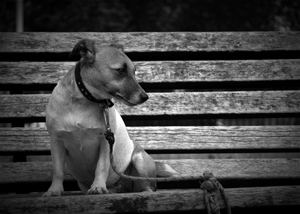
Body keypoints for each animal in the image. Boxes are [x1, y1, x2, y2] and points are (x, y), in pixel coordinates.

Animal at [43, 38, 177, 196]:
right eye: (121, 70)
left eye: (134, 71)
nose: (145, 97)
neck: (84, 99)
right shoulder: (56, 141)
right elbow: (58, 171)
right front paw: (54, 190)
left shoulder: (105, 142)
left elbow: (101, 167)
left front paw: (98, 187)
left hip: (140, 161)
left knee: (147, 186)